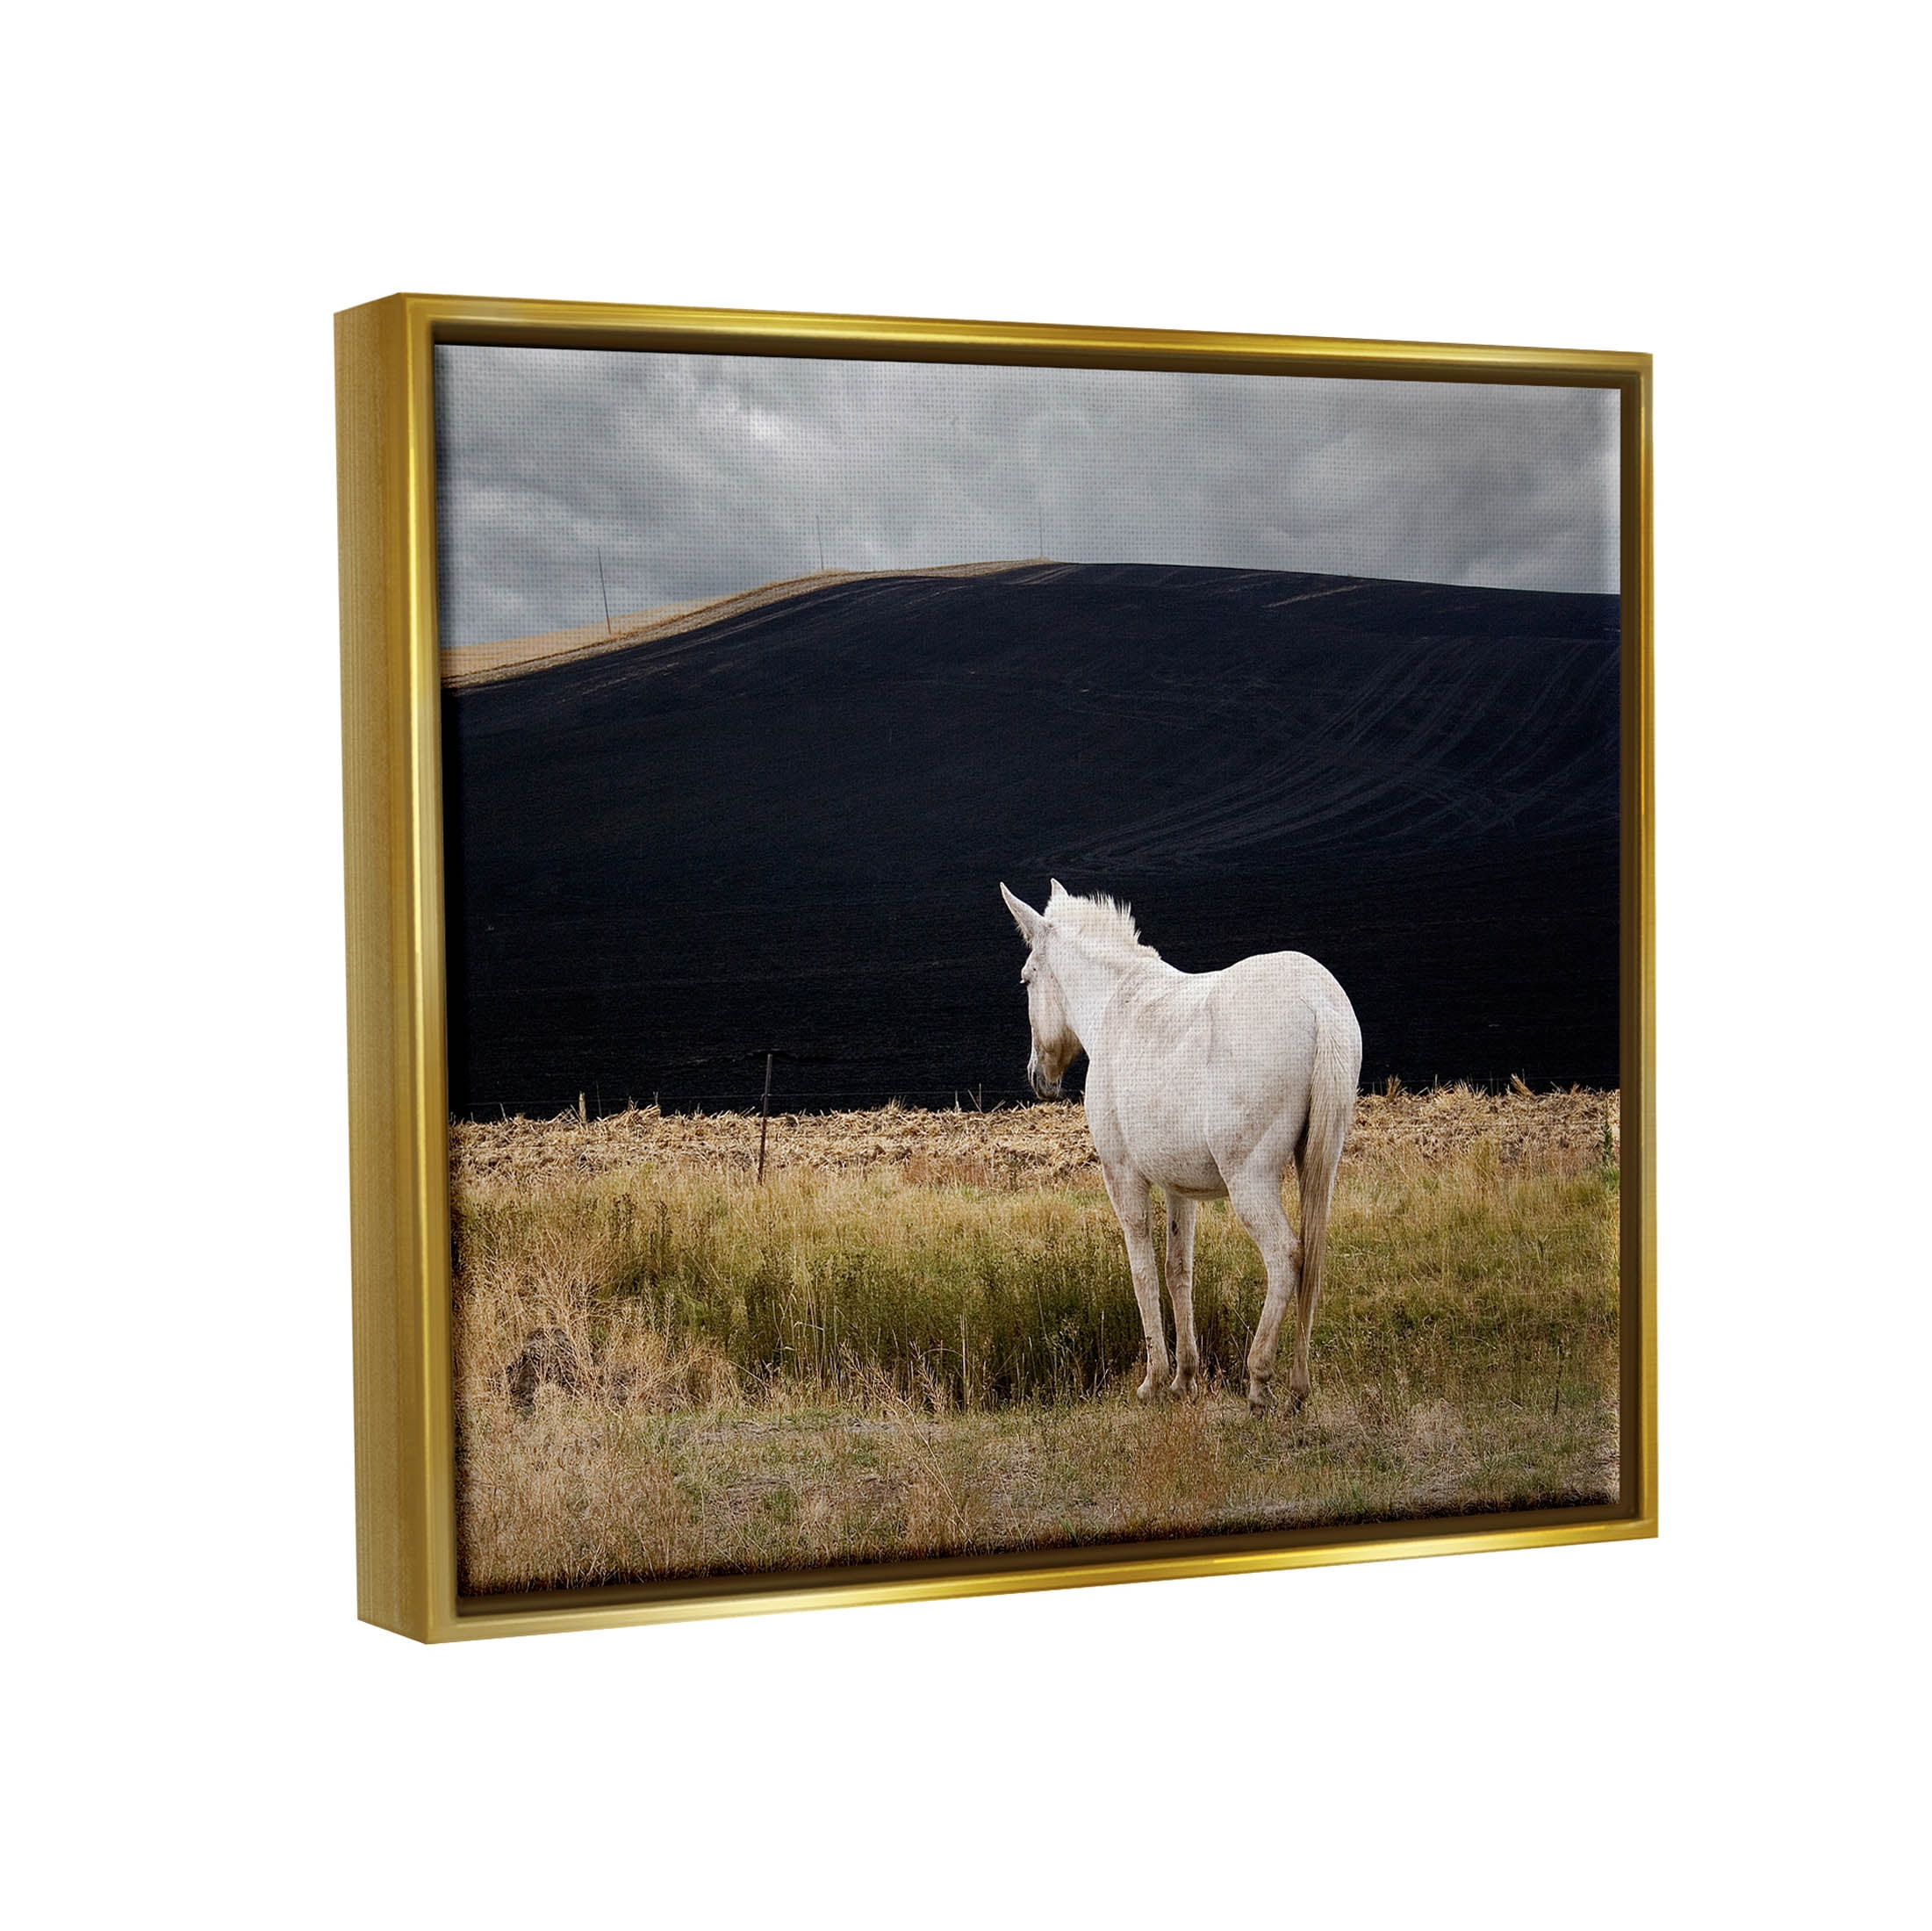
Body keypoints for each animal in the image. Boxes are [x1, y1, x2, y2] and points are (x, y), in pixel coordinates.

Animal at [1000, 881, 1362, 1416]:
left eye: (1027, 980)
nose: (1037, 1077)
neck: (1117, 1006)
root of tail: (1320, 1005)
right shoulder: (1180, 1189)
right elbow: (1178, 1271)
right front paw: (1185, 1378)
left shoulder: (1123, 1176)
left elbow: (1144, 1272)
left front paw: (1154, 1379)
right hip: (1320, 1165)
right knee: (1310, 1262)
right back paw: (1297, 1387)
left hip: (1250, 1182)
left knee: (1285, 1258)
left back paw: (1259, 1381)